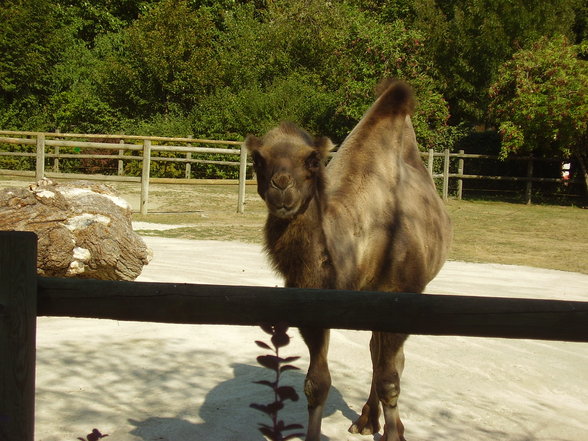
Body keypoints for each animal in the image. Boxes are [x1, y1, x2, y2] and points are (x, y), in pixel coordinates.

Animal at [246, 80, 452, 440]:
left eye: (313, 160)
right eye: (259, 159)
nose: (281, 186)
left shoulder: (401, 295)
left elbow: (390, 380)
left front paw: (394, 433)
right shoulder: (313, 301)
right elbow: (317, 383)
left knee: (390, 360)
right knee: (375, 350)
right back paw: (367, 419)